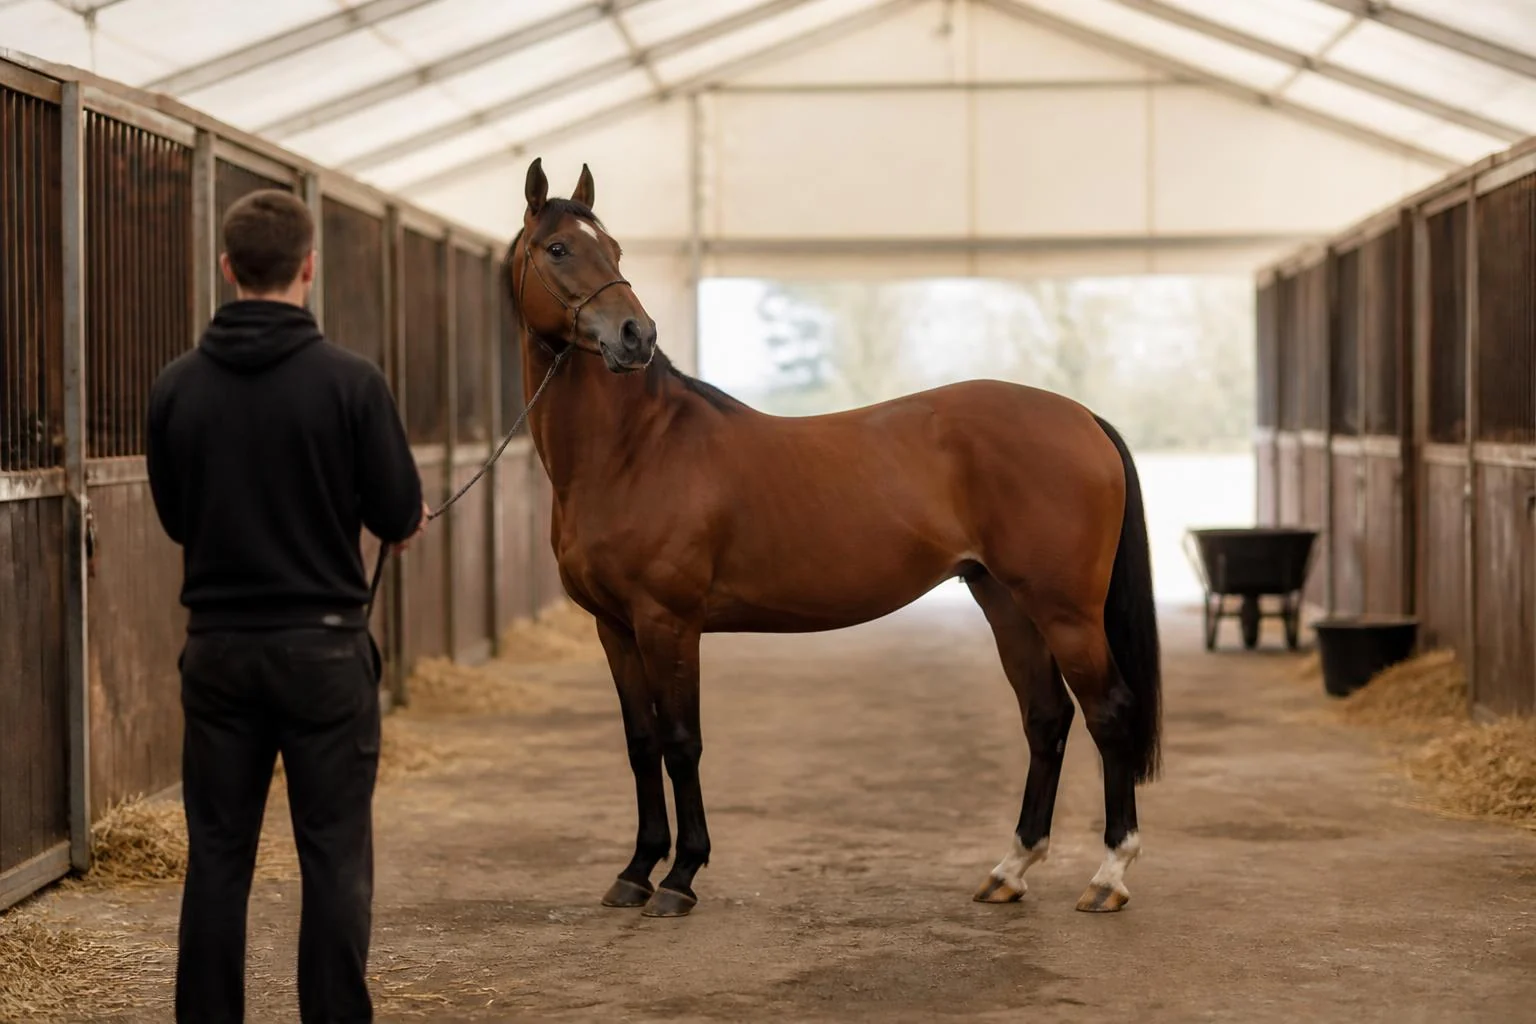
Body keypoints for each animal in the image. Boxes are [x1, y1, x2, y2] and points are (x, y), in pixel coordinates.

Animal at [504, 157, 1161, 919]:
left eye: (612, 249)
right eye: (558, 248)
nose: (635, 335)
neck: (636, 448)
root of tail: (1083, 418)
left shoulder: (668, 622)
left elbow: (681, 741)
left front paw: (680, 876)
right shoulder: (614, 627)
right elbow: (642, 744)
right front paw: (636, 871)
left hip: (1066, 611)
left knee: (1109, 713)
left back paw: (1109, 876)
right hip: (1005, 600)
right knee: (1046, 717)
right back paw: (1010, 869)